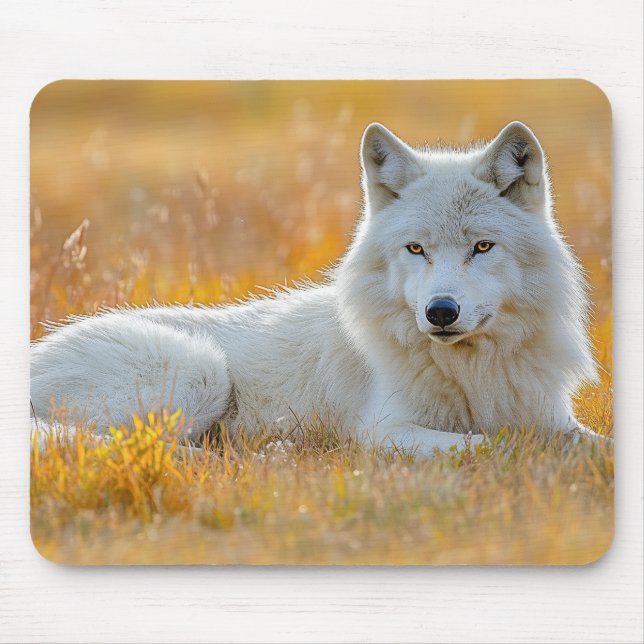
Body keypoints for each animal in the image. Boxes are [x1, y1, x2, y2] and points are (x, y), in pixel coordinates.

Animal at [31, 121, 599, 456]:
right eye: (416, 249)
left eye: (481, 247)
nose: (441, 311)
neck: (473, 371)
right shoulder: (382, 430)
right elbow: (494, 443)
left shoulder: (555, 418)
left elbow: (592, 443)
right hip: (200, 372)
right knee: (118, 445)